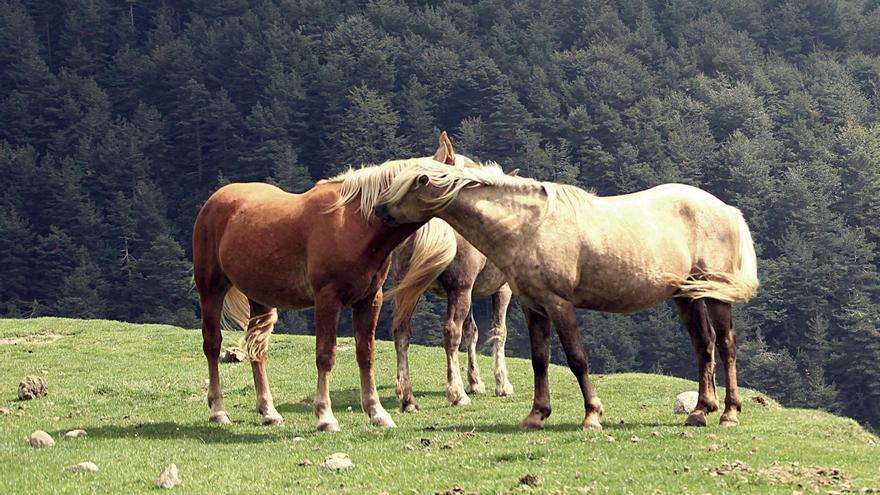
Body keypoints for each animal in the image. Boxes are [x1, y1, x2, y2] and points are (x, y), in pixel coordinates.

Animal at [192, 138, 460, 432]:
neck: (356, 223)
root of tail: (213, 202)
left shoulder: (370, 299)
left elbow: (366, 354)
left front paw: (377, 412)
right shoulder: (327, 299)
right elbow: (325, 355)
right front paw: (325, 416)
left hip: (259, 299)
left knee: (257, 349)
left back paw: (269, 412)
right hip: (211, 290)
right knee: (212, 345)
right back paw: (218, 411)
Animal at [372, 162, 756, 430]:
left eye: (406, 188)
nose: (378, 211)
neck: (529, 227)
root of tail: (728, 211)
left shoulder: (559, 304)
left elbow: (576, 359)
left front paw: (592, 416)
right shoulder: (534, 307)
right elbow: (540, 360)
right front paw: (537, 414)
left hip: (715, 295)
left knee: (725, 344)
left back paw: (729, 413)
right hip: (686, 296)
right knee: (703, 344)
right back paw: (701, 411)